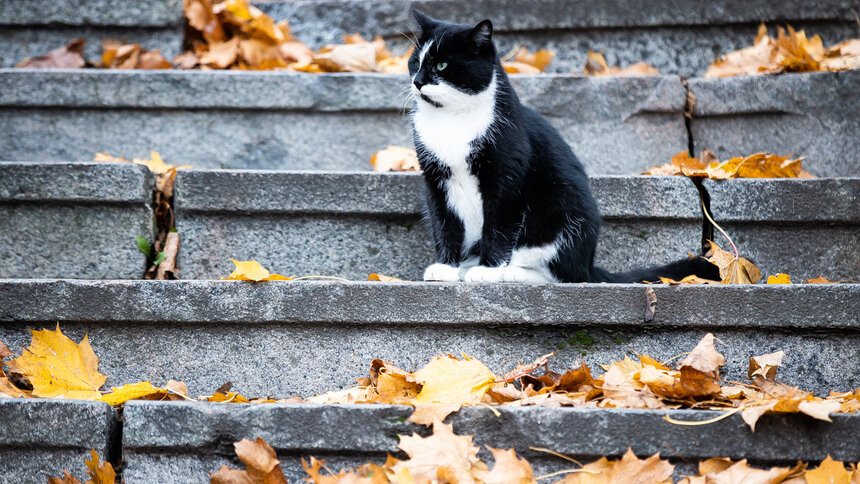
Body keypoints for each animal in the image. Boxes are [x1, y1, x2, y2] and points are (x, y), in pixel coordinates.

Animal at [410, 9, 720, 284]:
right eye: (415, 62)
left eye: (441, 65)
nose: (417, 81)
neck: (451, 120)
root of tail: (590, 265)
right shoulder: (435, 180)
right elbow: (444, 224)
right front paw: (445, 267)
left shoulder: (508, 176)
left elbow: (498, 226)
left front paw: (488, 270)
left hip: (567, 213)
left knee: (563, 273)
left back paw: (509, 272)